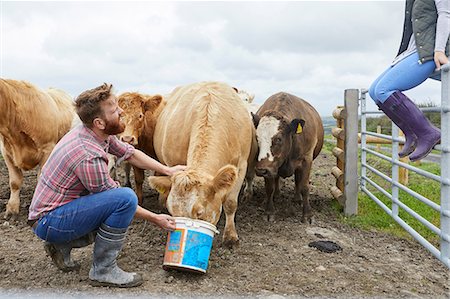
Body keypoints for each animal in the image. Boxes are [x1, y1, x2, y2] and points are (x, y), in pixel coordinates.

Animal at [148, 81, 253, 247]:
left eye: (200, 212)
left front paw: (230, 237)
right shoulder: (173, 163)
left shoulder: (242, 165)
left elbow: (230, 203)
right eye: (172, 212)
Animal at [253, 92, 324, 224]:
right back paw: (275, 195)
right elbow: (269, 187)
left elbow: (305, 187)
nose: (261, 170)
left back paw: (297, 198)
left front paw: (307, 215)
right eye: (257, 138)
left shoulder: (306, 160)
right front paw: (269, 211)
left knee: (297, 181)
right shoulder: (269, 167)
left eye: (279, 139)